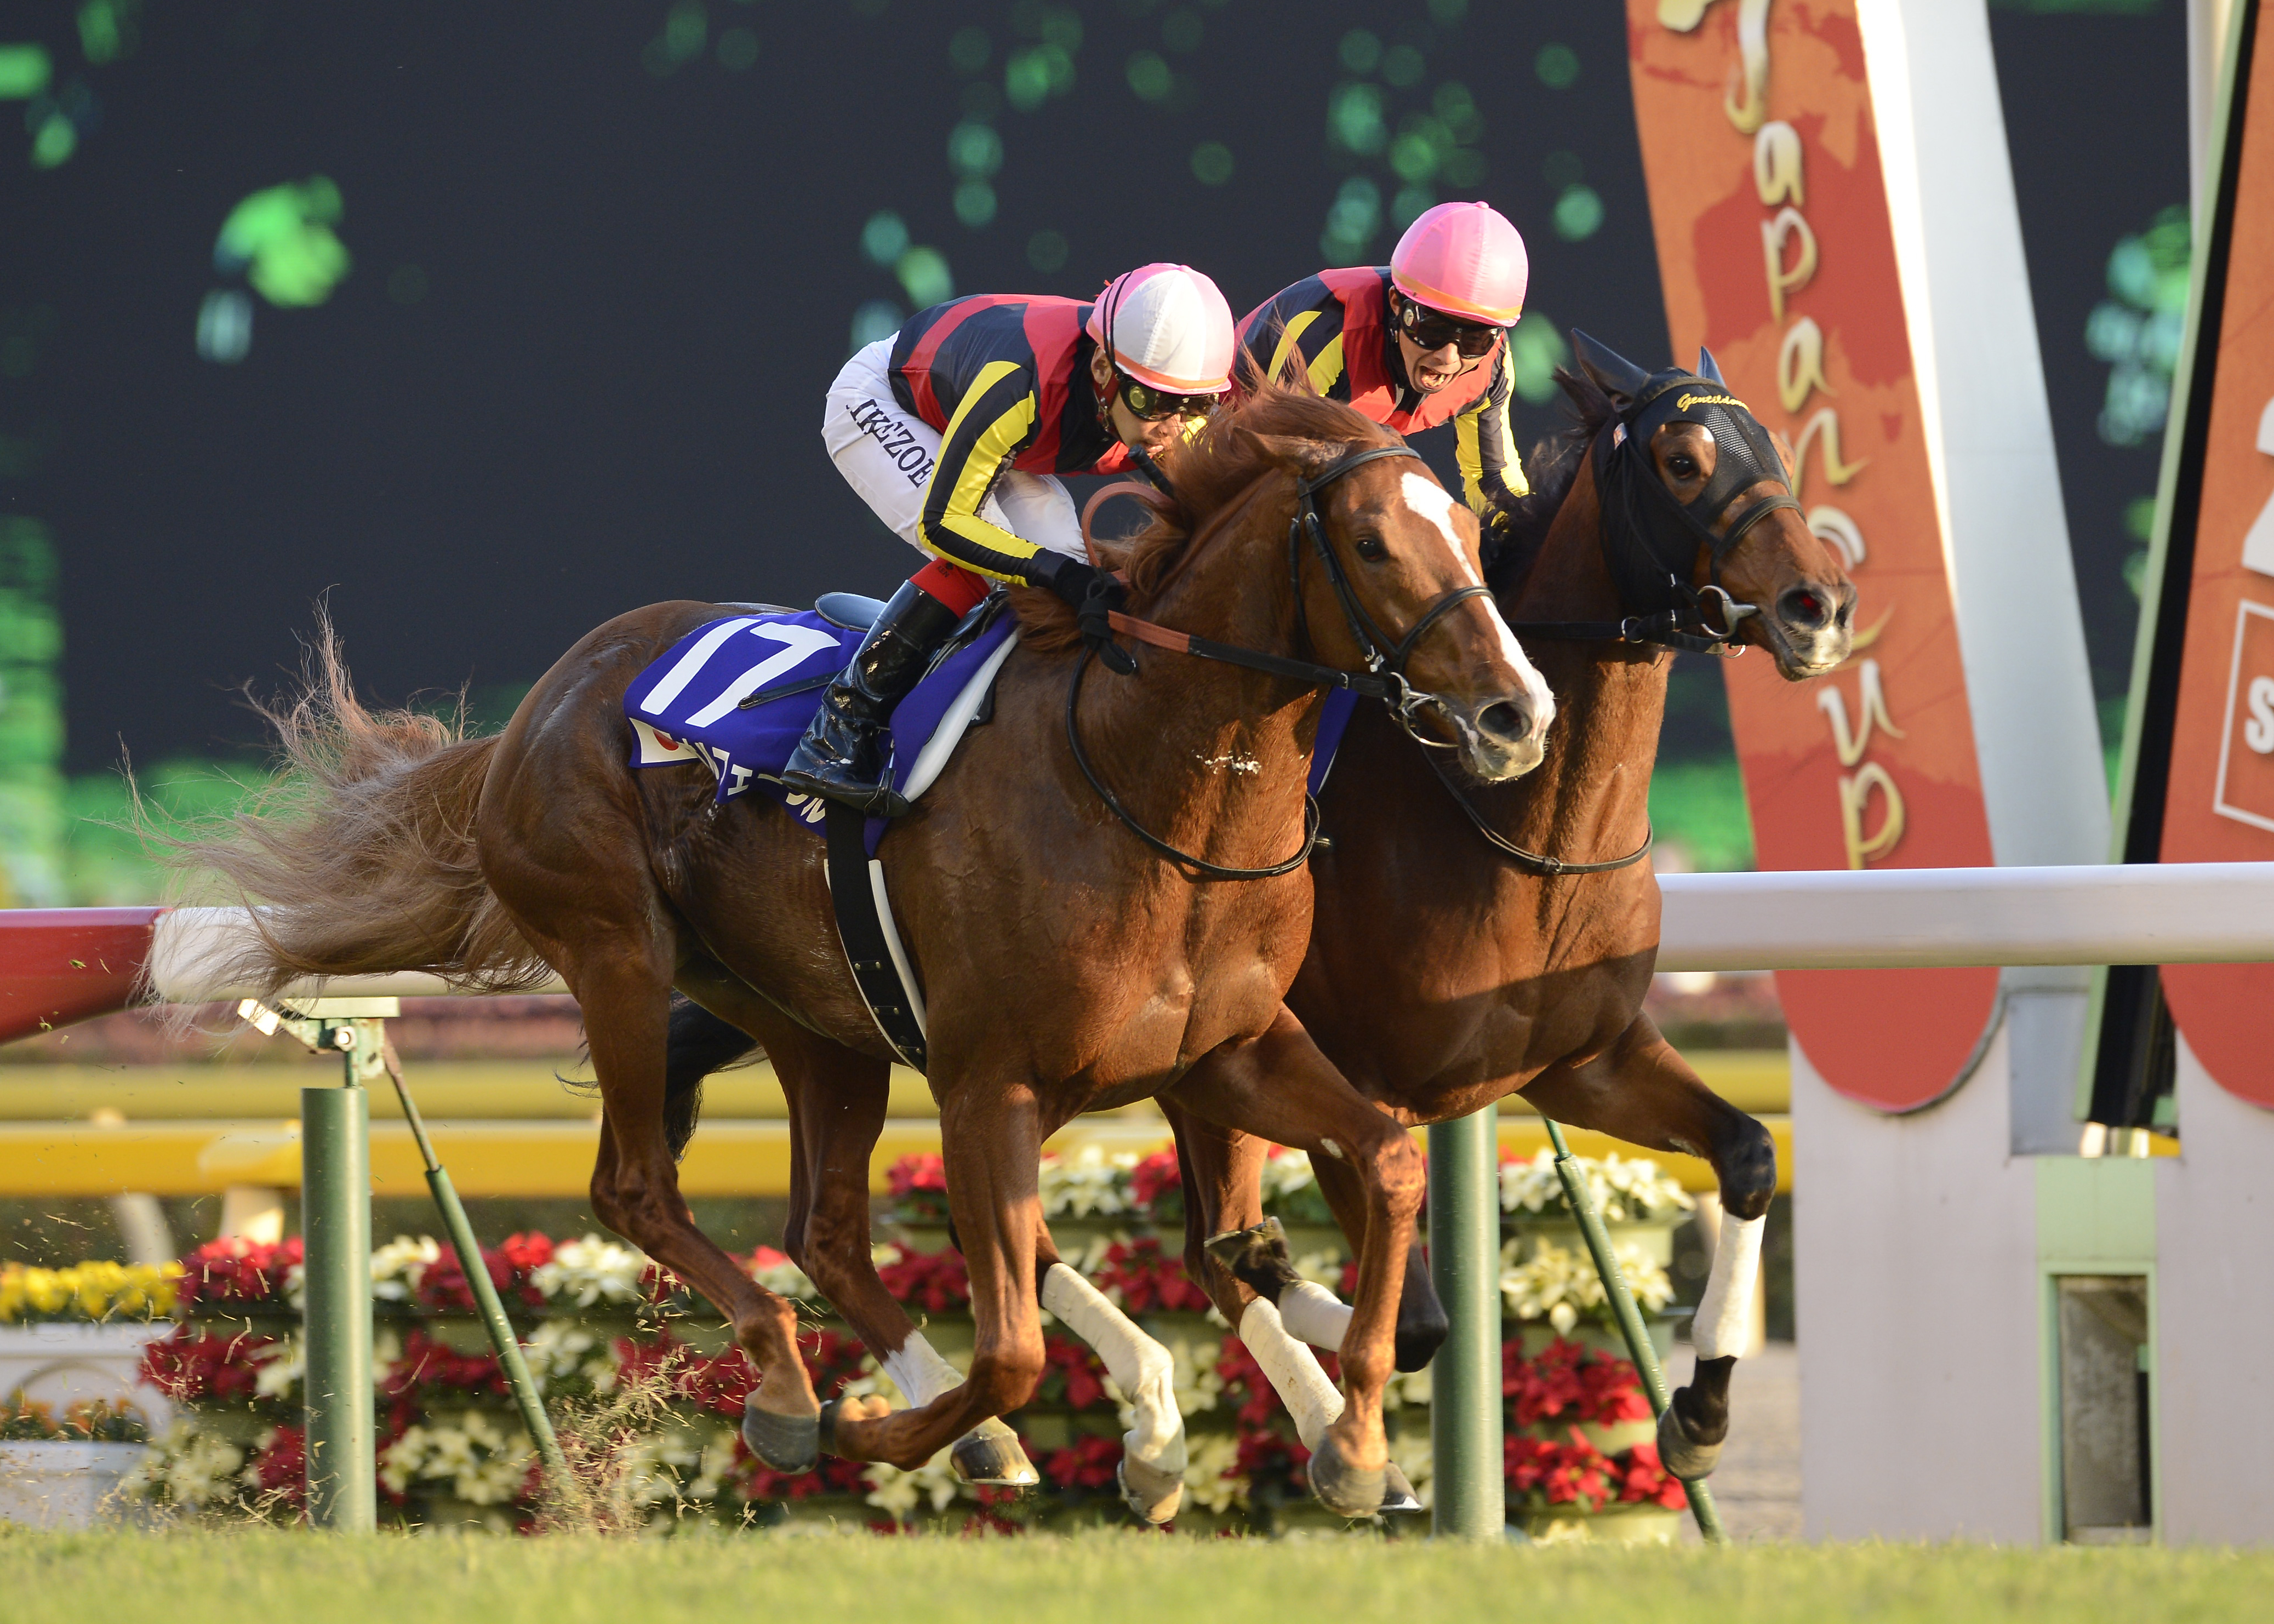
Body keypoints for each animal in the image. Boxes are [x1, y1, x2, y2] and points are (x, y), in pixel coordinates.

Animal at [165, 385, 1553, 1521]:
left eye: (1469, 530)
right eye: (1369, 543)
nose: (1513, 712)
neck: (1149, 784)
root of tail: (537, 706)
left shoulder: (1225, 1052)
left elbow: (1379, 1164)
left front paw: (1354, 1442)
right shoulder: (990, 1084)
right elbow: (1016, 1342)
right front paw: (889, 1431)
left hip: (814, 1020)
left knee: (824, 1226)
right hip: (617, 955)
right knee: (636, 1189)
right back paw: (795, 1394)